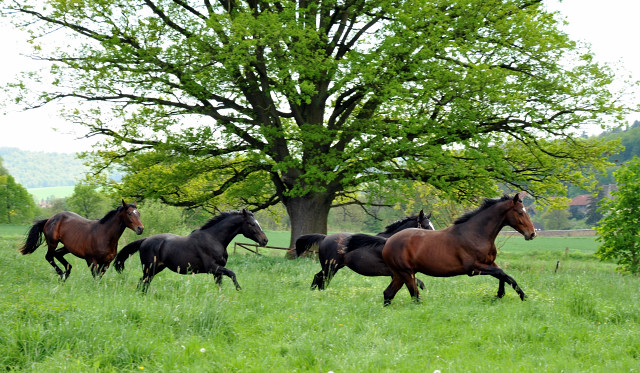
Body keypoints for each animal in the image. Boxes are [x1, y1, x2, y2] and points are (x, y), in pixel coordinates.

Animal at [112, 209, 268, 290]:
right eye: (251, 224)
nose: (265, 240)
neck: (214, 239)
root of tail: (145, 240)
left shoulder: (218, 271)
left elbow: (220, 285)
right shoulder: (212, 267)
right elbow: (232, 274)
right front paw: (239, 289)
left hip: (156, 269)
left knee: (144, 282)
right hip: (149, 268)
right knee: (142, 282)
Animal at [296, 211, 436, 290]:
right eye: (426, 226)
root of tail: (325, 237)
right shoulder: (397, 273)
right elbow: (420, 284)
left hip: (333, 267)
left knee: (318, 278)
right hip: (330, 267)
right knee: (321, 279)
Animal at [380, 192, 536, 306]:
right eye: (520, 213)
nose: (532, 233)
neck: (475, 234)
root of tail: (388, 242)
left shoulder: (489, 263)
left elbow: (503, 275)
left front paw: (502, 295)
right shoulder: (473, 268)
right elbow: (503, 274)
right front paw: (519, 296)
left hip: (400, 274)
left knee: (388, 294)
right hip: (407, 274)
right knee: (414, 297)